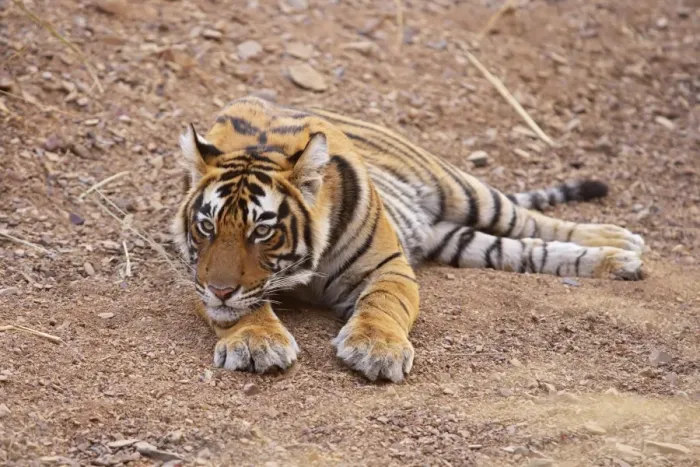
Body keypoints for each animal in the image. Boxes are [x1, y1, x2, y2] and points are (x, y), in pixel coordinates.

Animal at [172, 96, 645, 383]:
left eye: (262, 231)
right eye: (207, 226)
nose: (220, 288)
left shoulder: (388, 265)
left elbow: (384, 304)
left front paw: (376, 349)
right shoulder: (195, 272)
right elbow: (240, 309)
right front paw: (256, 343)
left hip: (464, 191)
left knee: (531, 221)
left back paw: (620, 240)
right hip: (459, 239)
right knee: (530, 250)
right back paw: (620, 261)